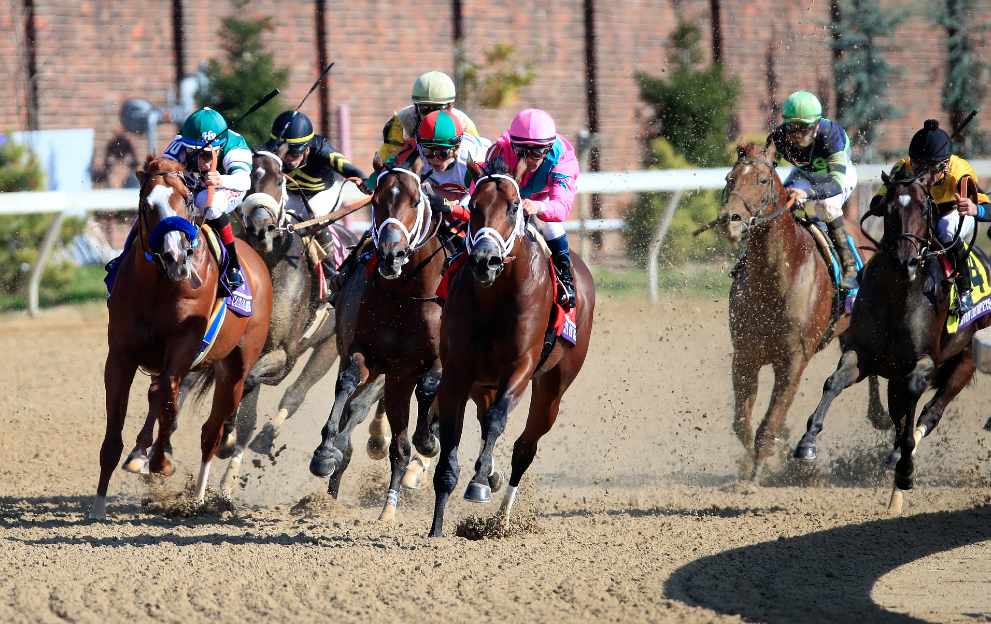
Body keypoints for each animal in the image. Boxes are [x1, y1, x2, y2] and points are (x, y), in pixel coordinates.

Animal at [89, 157, 274, 520]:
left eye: (188, 201)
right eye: (147, 205)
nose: (176, 257)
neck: (160, 286)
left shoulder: (184, 345)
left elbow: (164, 398)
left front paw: (156, 461)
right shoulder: (119, 356)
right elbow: (116, 429)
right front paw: (99, 505)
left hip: (236, 369)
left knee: (211, 432)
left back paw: (199, 497)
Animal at [310, 154, 450, 520]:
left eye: (416, 201)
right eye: (376, 200)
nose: (390, 255)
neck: (406, 297)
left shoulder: (435, 362)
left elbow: (429, 387)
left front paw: (427, 440)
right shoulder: (366, 353)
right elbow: (347, 382)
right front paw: (325, 452)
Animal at [428, 158, 596, 540]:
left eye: (515, 206)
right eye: (474, 206)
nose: (485, 261)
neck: (495, 297)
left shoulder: (520, 367)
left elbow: (495, 421)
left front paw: (477, 484)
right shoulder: (457, 374)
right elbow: (450, 445)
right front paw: (436, 529)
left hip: (553, 387)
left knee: (524, 447)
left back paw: (502, 519)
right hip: (482, 383)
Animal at [716, 140, 888, 482]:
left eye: (762, 181)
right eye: (730, 178)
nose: (730, 219)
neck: (775, 280)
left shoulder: (794, 359)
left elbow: (767, 423)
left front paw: (755, 476)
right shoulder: (745, 355)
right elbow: (742, 423)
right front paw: (760, 460)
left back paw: (880, 416)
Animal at [796, 167, 991, 512]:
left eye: (925, 209)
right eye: (886, 209)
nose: (905, 261)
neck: (898, 296)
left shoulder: (924, 363)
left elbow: (915, 397)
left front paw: (906, 468)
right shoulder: (862, 354)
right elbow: (834, 382)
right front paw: (808, 441)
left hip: (967, 358)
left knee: (931, 412)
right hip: (895, 377)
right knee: (901, 417)